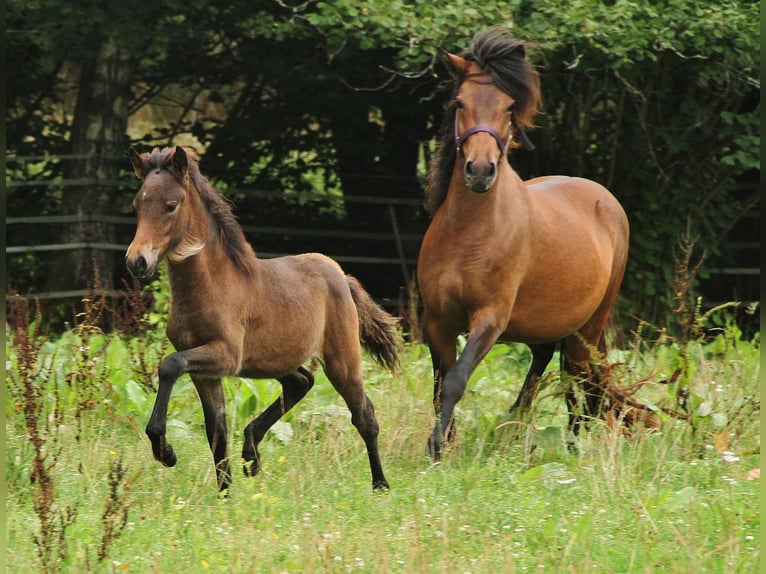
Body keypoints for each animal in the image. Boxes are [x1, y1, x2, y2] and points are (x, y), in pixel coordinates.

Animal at [126, 146, 402, 492]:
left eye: (170, 205)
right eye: (137, 205)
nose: (136, 261)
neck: (212, 285)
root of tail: (341, 275)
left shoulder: (225, 356)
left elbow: (169, 365)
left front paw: (166, 453)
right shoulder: (205, 372)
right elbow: (215, 431)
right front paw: (225, 494)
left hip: (342, 360)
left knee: (364, 414)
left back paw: (380, 485)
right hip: (275, 360)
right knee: (302, 381)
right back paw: (251, 451)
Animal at [420, 30, 632, 464]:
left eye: (508, 106)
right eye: (459, 102)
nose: (480, 171)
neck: (468, 234)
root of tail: (604, 199)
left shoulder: (490, 319)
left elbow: (456, 380)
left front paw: (436, 447)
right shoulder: (436, 320)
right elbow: (439, 383)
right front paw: (445, 442)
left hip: (588, 326)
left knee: (577, 377)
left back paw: (571, 446)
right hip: (549, 323)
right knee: (547, 360)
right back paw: (517, 425)